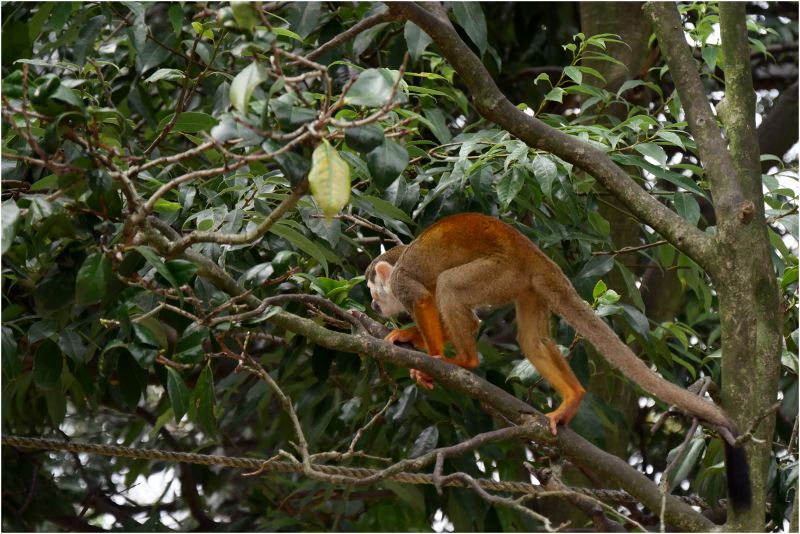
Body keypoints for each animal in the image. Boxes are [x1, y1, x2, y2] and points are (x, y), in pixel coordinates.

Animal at [366, 213, 752, 510]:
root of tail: (531, 251)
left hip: (498, 270)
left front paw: (430, 357)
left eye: (372, 288)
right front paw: (405, 337)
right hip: (523, 282)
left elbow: (425, 300)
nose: (371, 303)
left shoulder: (402, 281)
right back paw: (573, 397)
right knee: (532, 340)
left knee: (449, 286)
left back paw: (465, 360)